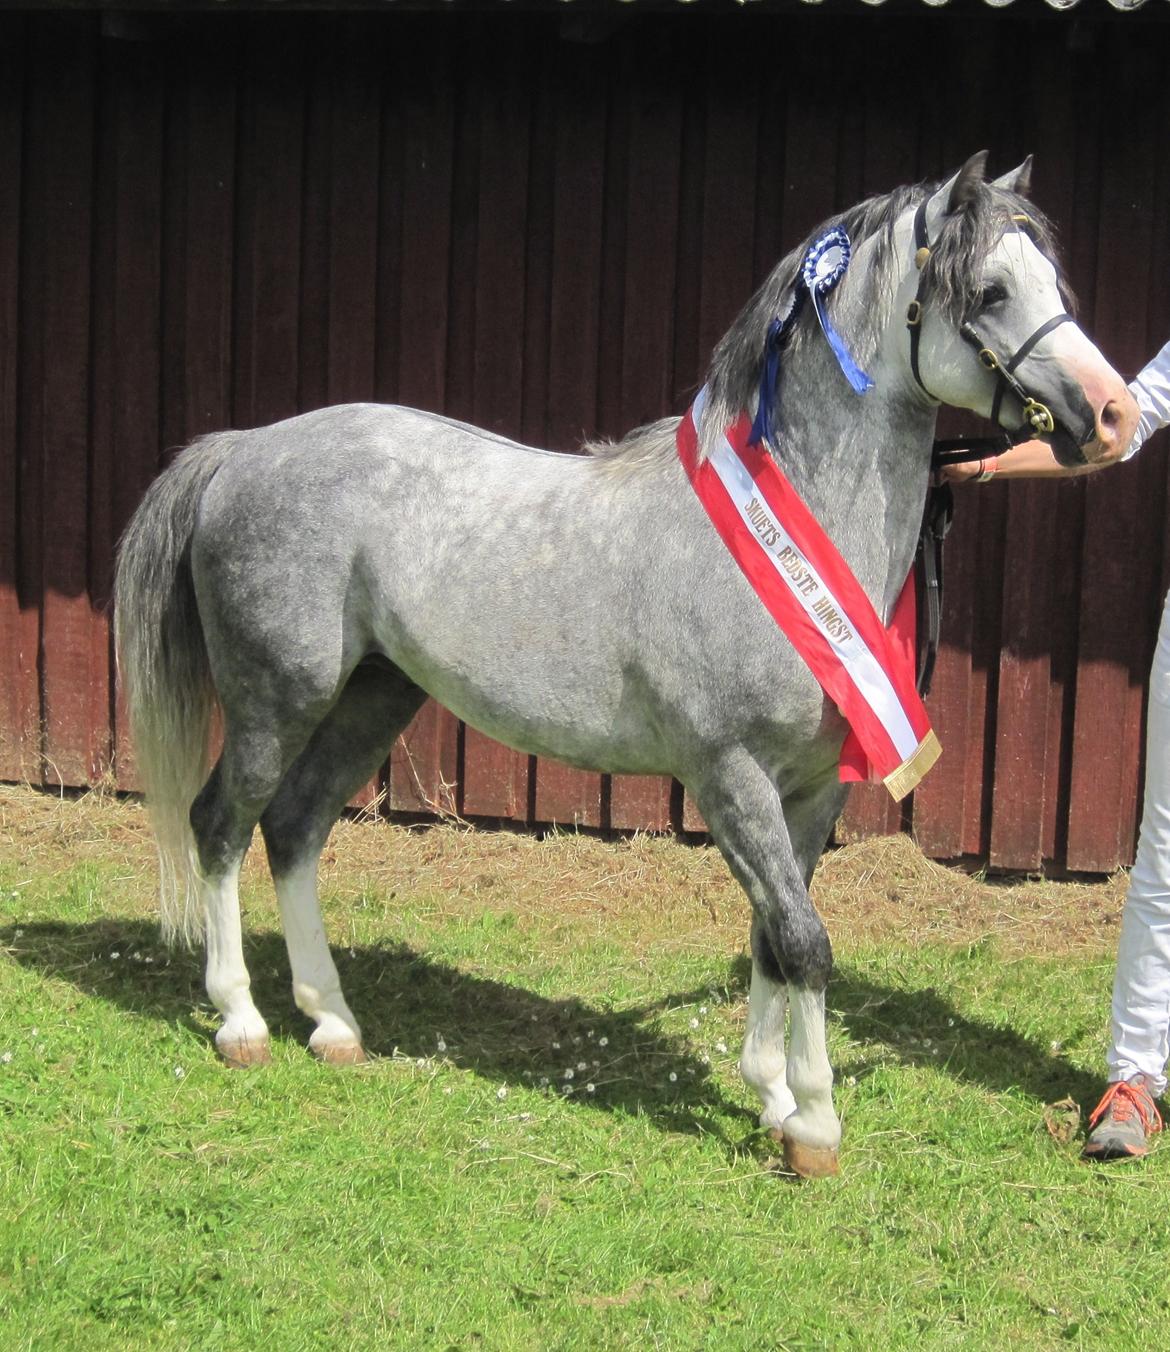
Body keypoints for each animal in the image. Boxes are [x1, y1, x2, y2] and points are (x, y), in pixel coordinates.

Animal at [114, 152, 1137, 1177]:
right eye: (991, 289)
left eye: (1052, 282)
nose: (1116, 414)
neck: (783, 524)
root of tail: (242, 450)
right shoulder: (731, 776)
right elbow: (804, 941)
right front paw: (813, 1123)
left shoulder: (812, 792)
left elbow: (774, 933)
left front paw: (771, 1095)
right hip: (275, 699)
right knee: (221, 824)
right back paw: (241, 1022)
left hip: (374, 696)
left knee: (294, 828)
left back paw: (332, 1024)